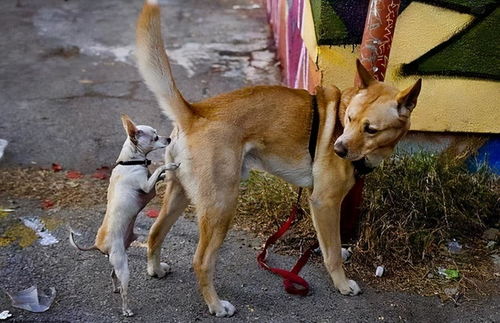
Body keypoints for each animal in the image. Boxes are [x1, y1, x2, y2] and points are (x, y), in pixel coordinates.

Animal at [69, 115, 179, 318]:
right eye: (155, 137)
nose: (168, 139)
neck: (130, 162)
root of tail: (98, 244)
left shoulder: (149, 184)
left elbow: (157, 175)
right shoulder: (147, 187)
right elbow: (157, 172)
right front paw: (169, 166)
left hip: (116, 263)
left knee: (112, 276)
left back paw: (115, 288)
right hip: (123, 266)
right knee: (125, 292)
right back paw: (126, 309)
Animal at [135, 0, 420, 318]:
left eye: (370, 129)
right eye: (348, 119)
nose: (337, 149)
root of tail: (195, 112)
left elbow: (330, 244)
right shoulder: (324, 202)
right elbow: (333, 253)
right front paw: (342, 283)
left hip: (180, 193)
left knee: (155, 233)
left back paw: (155, 268)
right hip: (222, 205)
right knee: (201, 261)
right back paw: (216, 304)